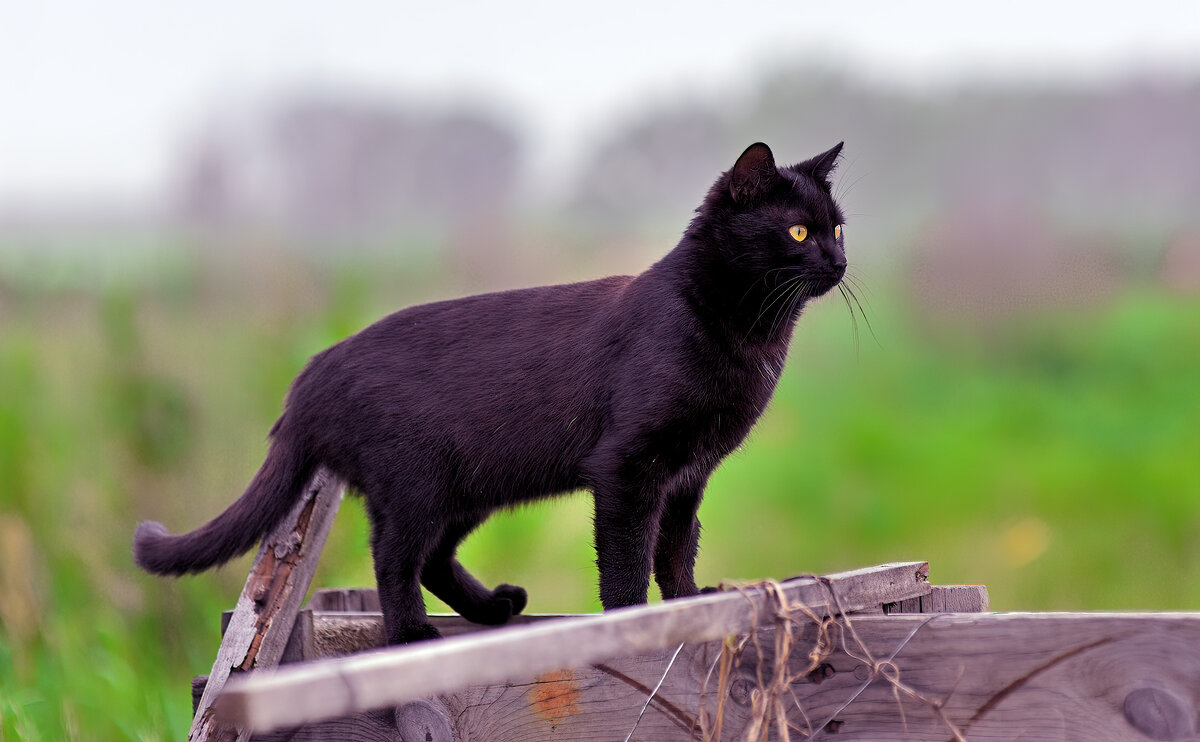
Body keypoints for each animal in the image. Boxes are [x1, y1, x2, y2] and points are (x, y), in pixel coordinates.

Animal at [136, 139, 849, 643]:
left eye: (838, 227)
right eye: (798, 231)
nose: (840, 261)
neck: (749, 338)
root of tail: (312, 372)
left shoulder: (688, 475)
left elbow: (677, 546)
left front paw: (691, 603)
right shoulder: (628, 466)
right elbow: (626, 554)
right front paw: (631, 619)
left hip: (469, 485)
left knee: (431, 559)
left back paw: (493, 609)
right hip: (414, 483)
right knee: (394, 557)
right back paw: (412, 634)